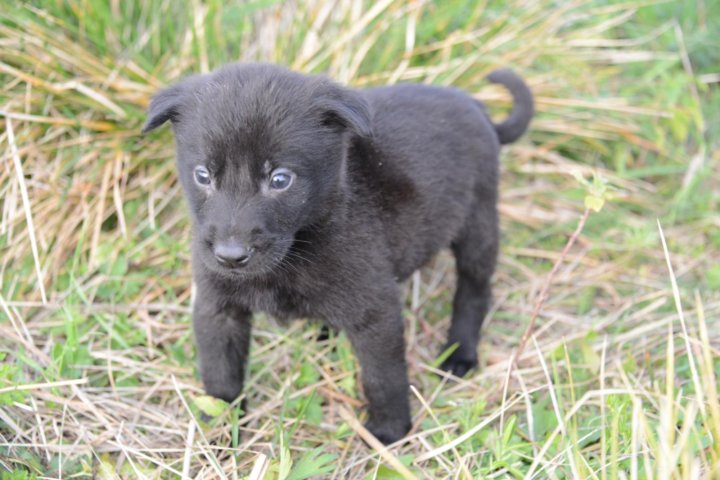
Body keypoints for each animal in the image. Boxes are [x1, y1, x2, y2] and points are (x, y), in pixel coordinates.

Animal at [143, 64, 532, 446]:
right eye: (203, 175)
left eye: (281, 179)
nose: (230, 256)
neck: (297, 249)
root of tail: (476, 107)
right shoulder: (217, 307)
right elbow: (220, 373)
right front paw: (221, 431)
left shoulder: (376, 312)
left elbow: (383, 377)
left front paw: (390, 431)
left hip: (478, 222)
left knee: (474, 288)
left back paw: (459, 354)